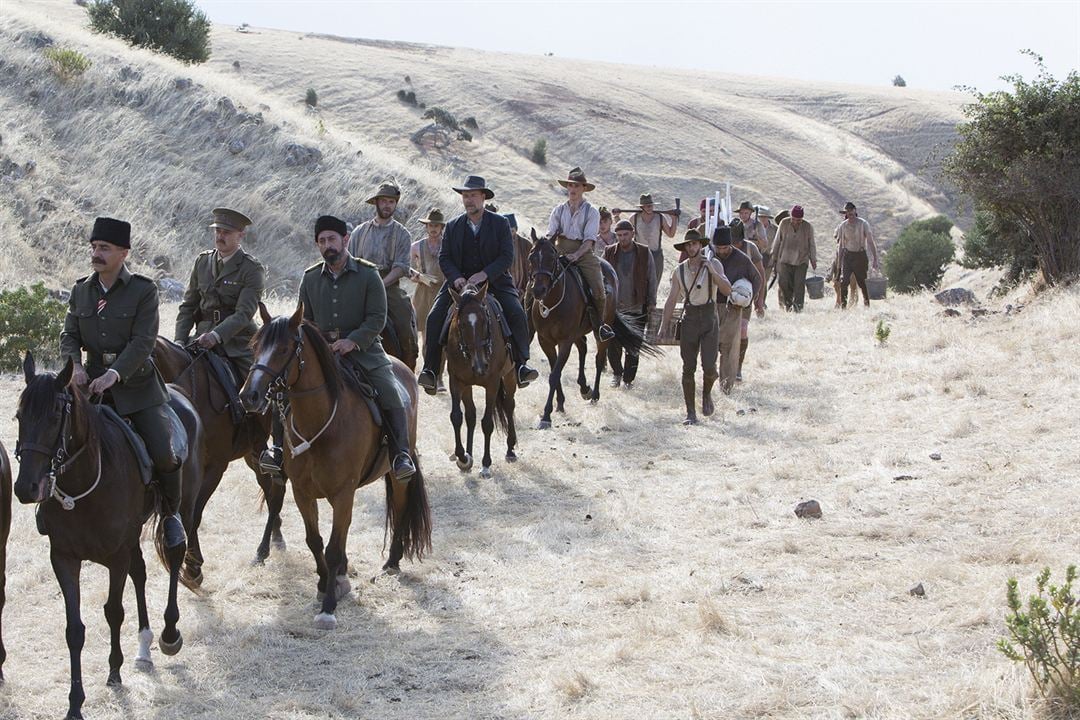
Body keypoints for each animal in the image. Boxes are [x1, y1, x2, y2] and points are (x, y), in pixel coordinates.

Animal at [15, 354, 200, 720]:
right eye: (19, 417)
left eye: (55, 417)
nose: (25, 487)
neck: (83, 482)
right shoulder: (64, 557)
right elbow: (74, 630)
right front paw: (75, 703)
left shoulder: (115, 556)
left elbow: (114, 611)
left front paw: (114, 671)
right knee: (140, 572)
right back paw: (144, 646)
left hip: (181, 507)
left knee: (175, 553)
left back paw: (169, 633)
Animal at [153, 338, 287, 587]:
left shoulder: (215, 467)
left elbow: (194, 514)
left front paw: (194, 567)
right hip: (252, 452)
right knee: (269, 486)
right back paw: (275, 535)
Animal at [239, 304, 429, 630]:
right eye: (255, 346)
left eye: (284, 348)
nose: (248, 396)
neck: (321, 423)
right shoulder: (302, 493)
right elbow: (315, 541)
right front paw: (323, 584)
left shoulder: (343, 494)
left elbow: (333, 547)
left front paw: (328, 606)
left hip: (397, 475)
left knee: (402, 507)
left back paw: (392, 561)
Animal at [444, 284, 516, 481]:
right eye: (461, 323)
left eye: (485, 321)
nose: (479, 365)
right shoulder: (456, 381)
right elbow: (457, 417)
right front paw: (463, 457)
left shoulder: (492, 384)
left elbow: (487, 423)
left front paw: (485, 465)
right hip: (467, 385)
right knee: (470, 414)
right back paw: (469, 454)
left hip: (510, 375)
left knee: (509, 405)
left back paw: (511, 449)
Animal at [527, 232, 652, 427]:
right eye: (531, 257)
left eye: (552, 257)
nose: (539, 290)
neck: (553, 303)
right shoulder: (545, 341)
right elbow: (555, 371)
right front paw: (560, 404)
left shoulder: (565, 342)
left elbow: (554, 375)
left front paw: (546, 416)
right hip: (578, 333)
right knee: (583, 348)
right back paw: (584, 387)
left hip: (601, 331)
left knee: (599, 359)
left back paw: (594, 395)